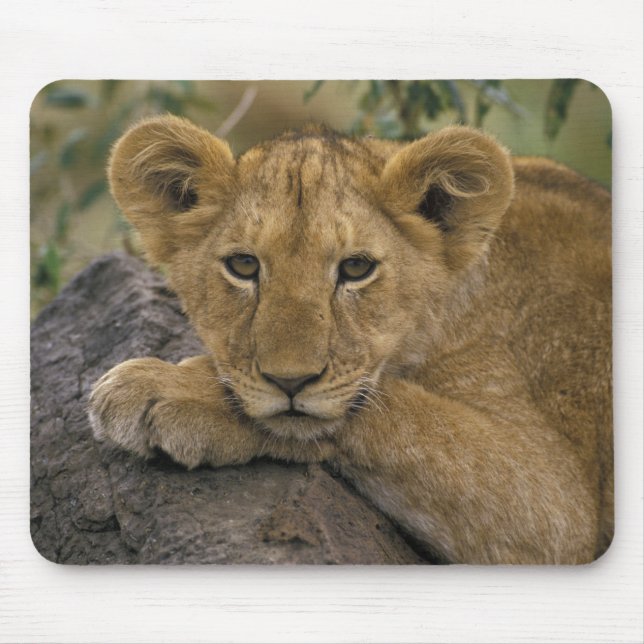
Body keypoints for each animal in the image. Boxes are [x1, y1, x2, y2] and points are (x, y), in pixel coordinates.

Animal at [89, 114, 612, 564]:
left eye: (357, 268)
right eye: (243, 265)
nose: (291, 382)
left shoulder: (555, 506)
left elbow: (404, 413)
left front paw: (169, 390)